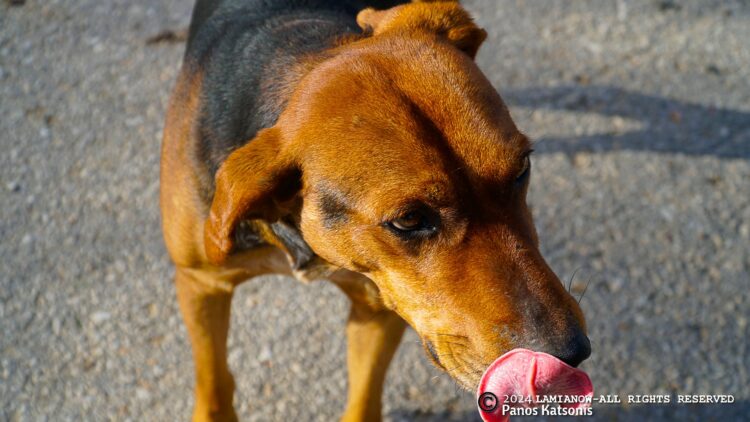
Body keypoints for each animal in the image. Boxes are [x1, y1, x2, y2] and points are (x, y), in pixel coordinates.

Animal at [160, 1, 591, 420]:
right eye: (409, 220)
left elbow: (365, 398)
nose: (569, 357)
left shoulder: (379, 303)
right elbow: (214, 383)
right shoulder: (200, 282)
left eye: (522, 169)